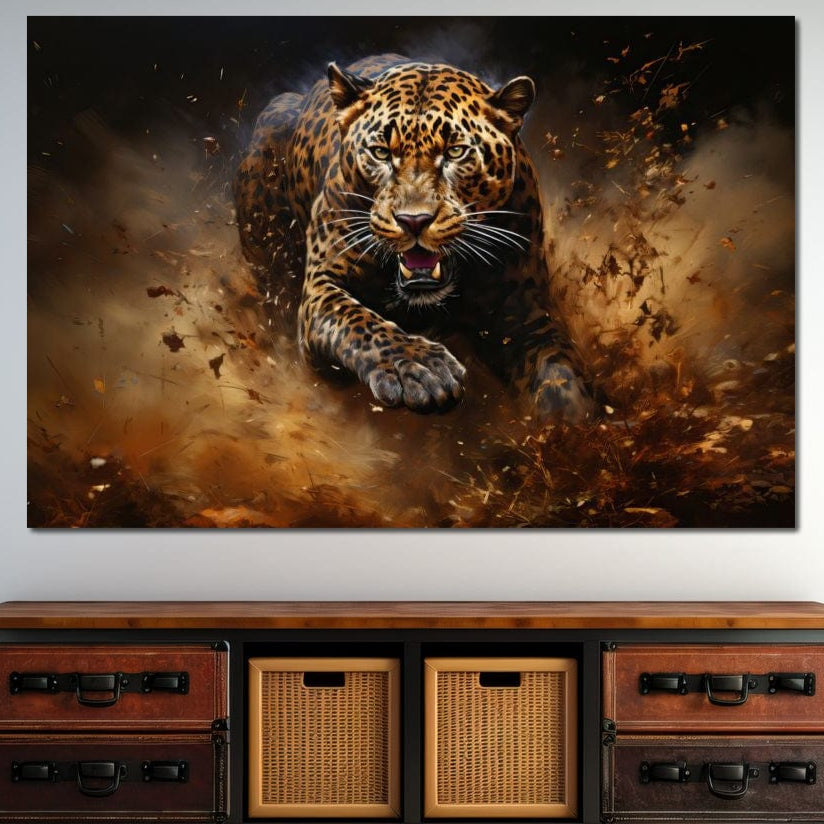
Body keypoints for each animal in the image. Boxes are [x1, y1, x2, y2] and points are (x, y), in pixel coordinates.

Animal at [234, 53, 594, 422]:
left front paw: (573, 421)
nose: (414, 221)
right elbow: (359, 322)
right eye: (380, 152)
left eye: (455, 152)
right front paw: (422, 368)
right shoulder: (322, 286)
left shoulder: (524, 307)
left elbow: (558, 369)